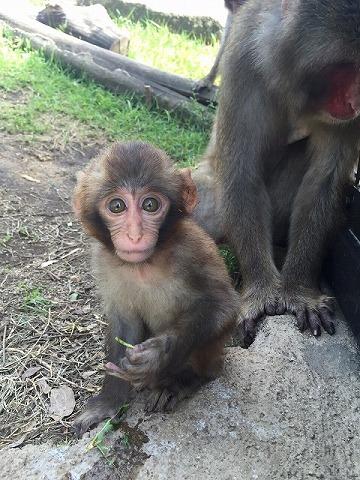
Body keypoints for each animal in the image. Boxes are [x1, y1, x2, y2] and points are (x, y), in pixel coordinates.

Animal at [72, 141, 239, 436]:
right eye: (117, 206)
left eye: (150, 205)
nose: (135, 235)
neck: (144, 264)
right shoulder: (103, 261)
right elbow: (124, 323)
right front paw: (108, 401)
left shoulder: (194, 249)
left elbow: (224, 306)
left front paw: (158, 355)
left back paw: (182, 381)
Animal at [195, 0, 360, 344]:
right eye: (348, 67)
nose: (357, 101)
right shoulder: (243, 59)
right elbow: (242, 173)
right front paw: (259, 290)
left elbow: (324, 181)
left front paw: (298, 289)